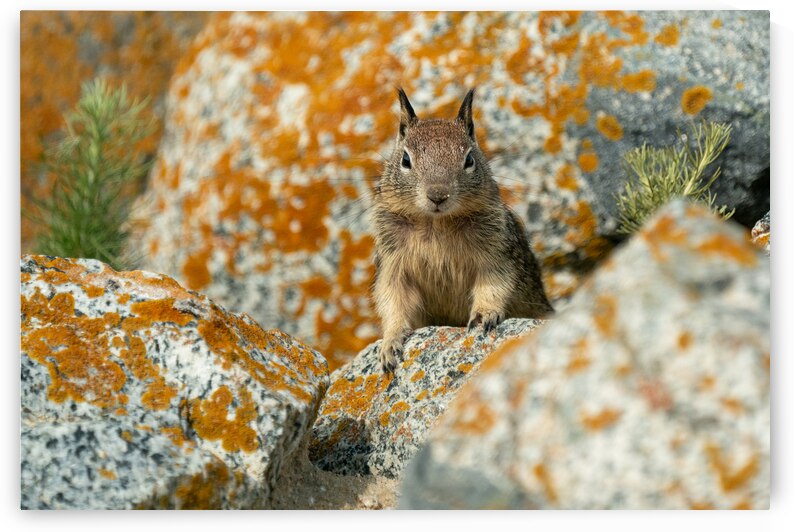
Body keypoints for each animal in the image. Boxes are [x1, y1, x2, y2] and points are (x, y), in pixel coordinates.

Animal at [370, 88, 552, 374]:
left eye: (469, 159)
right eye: (406, 160)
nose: (438, 195)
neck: (436, 225)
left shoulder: (497, 251)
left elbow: (494, 283)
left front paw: (483, 315)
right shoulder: (392, 264)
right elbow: (393, 301)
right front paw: (390, 344)